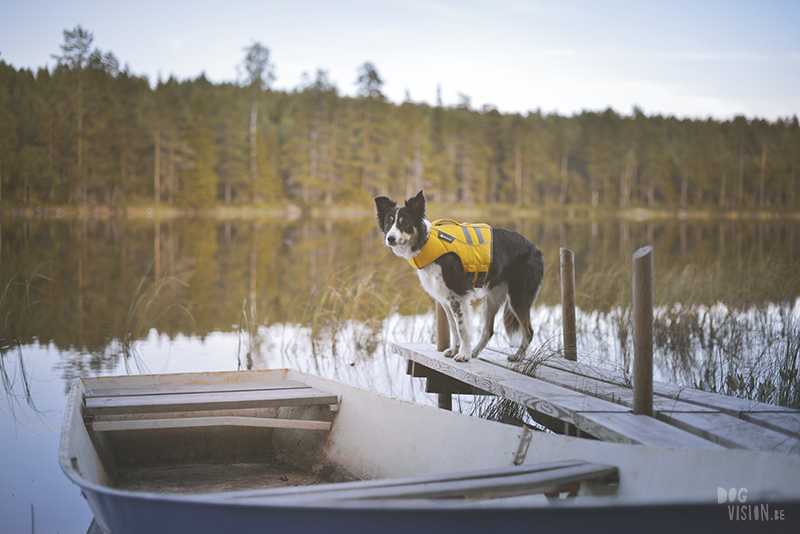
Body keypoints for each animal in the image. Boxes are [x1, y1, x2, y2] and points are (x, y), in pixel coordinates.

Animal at [376, 191, 544, 362]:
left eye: (405, 223)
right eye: (388, 224)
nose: (390, 239)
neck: (426, 242)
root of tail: (535, 248)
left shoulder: (458, 296)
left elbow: (462, 328)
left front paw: (463, 354)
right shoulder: (446, 299)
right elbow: (454, 327)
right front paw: (455, 350)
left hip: (518, 297)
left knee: (529, 331)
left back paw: (518, 356)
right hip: (492, 299)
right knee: (488, 331)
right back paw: (475, 352)